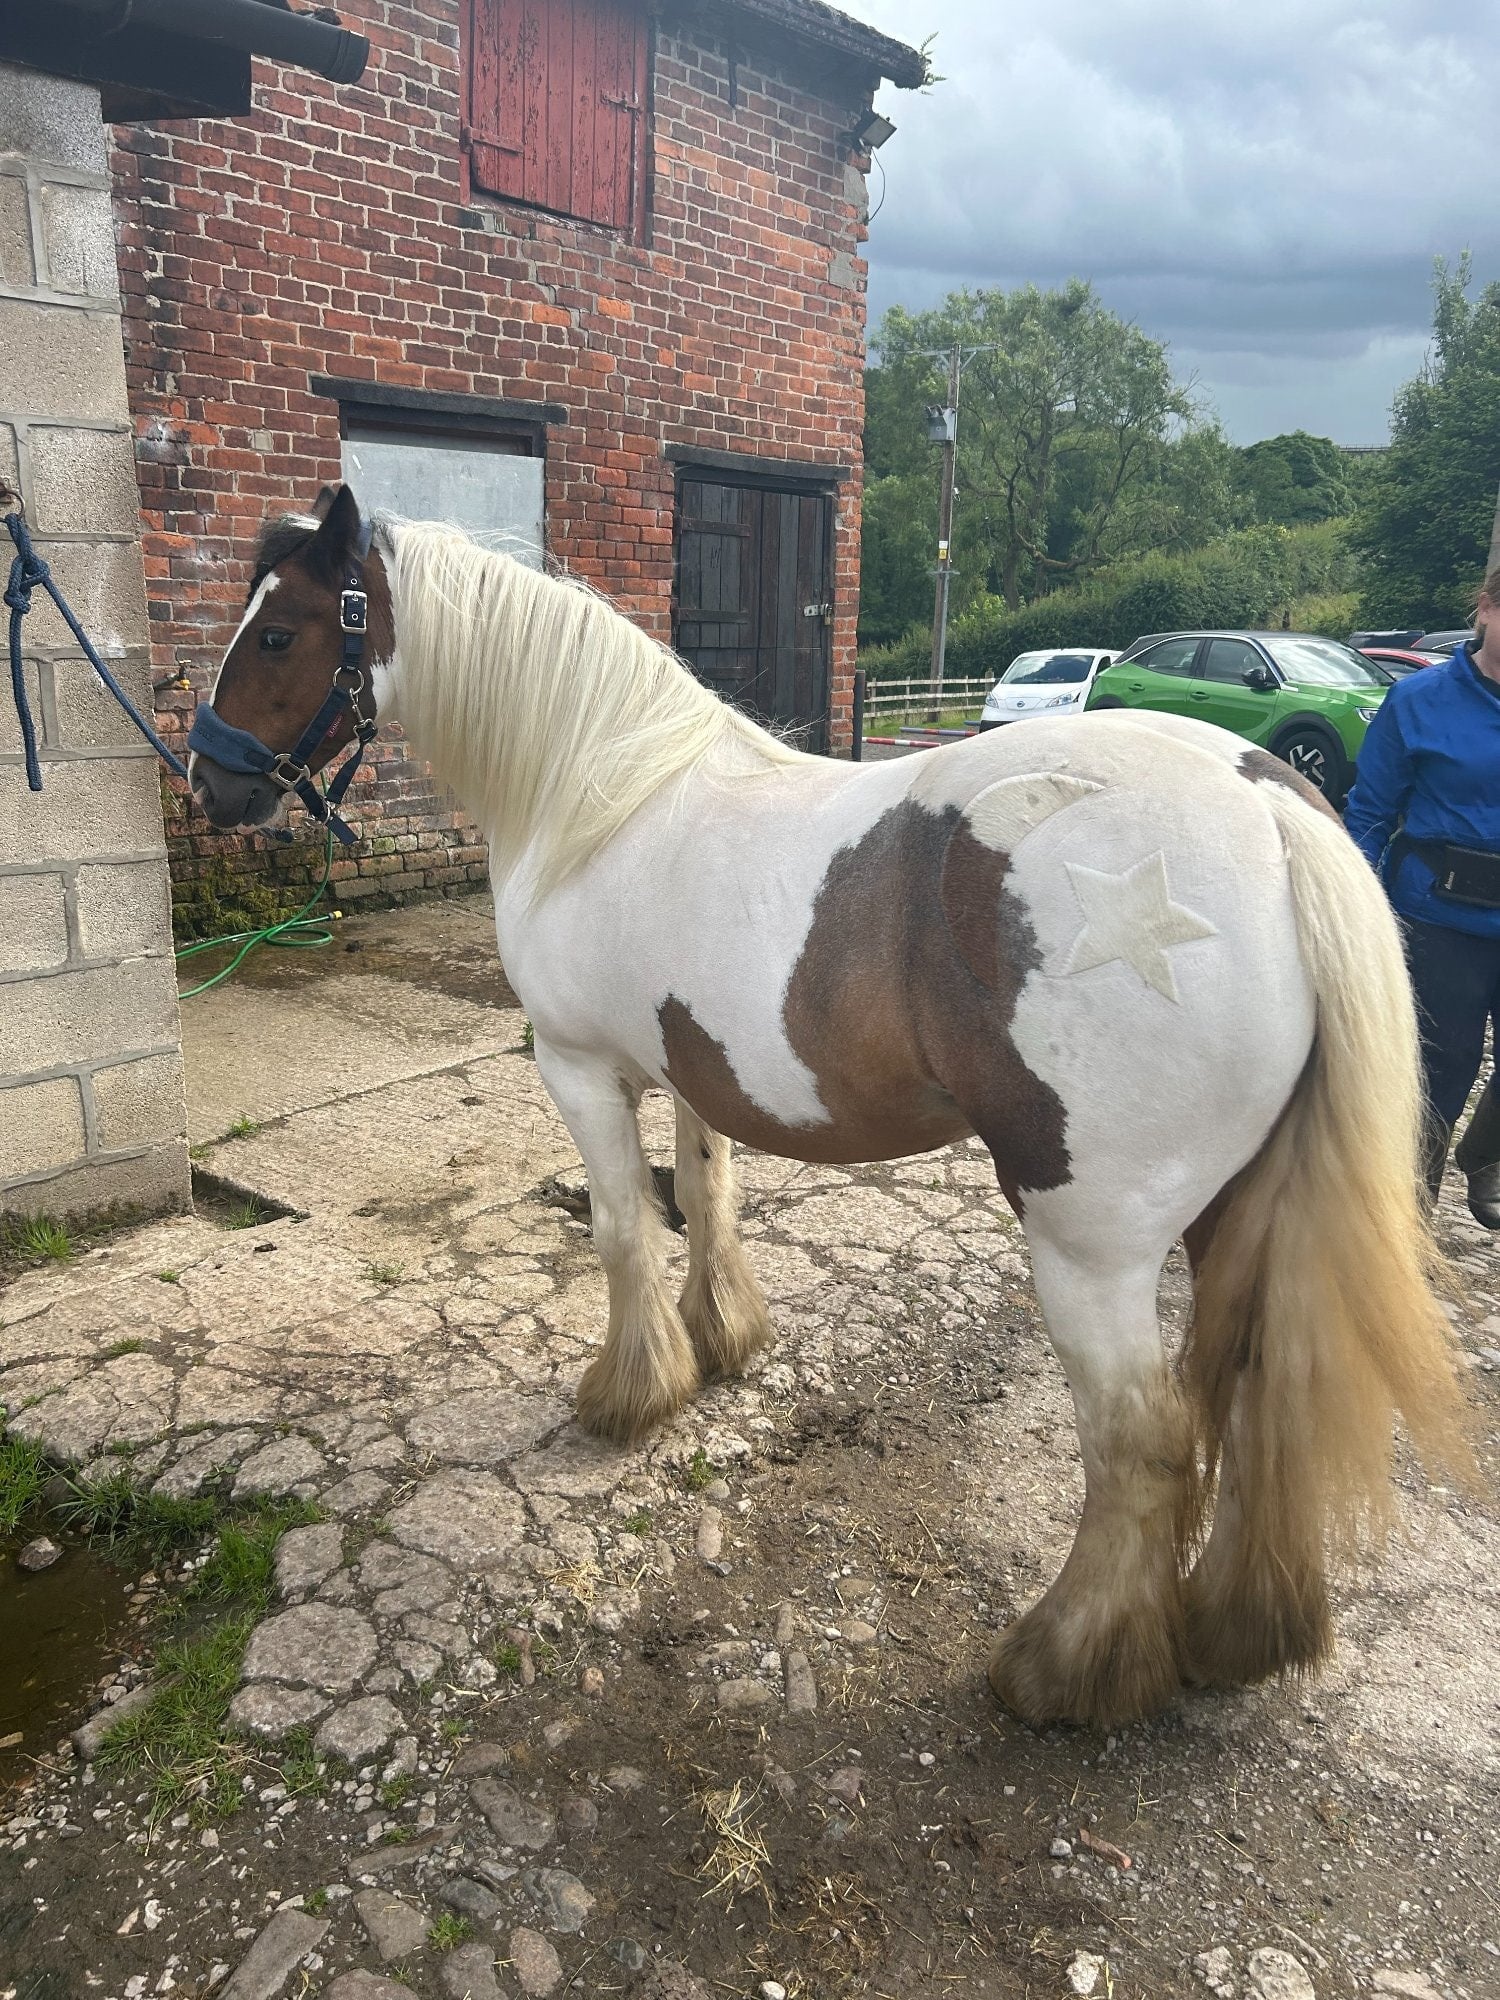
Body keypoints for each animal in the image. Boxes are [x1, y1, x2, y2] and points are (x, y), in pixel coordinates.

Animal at [187, 485, 1469, 1729]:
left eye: (282, 630)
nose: (211, 780)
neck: (599, 793)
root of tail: (1272, 810)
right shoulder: (690, 1068)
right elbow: (706, 1194)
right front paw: (719, 1341)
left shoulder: (579, 1067)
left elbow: (619, 1230)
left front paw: (628, 1392)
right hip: (1238, 1206)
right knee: (1264, 1389)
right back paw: (1238, 1631)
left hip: (1091, 1242)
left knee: (1143, 1442)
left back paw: (1065, 1670)